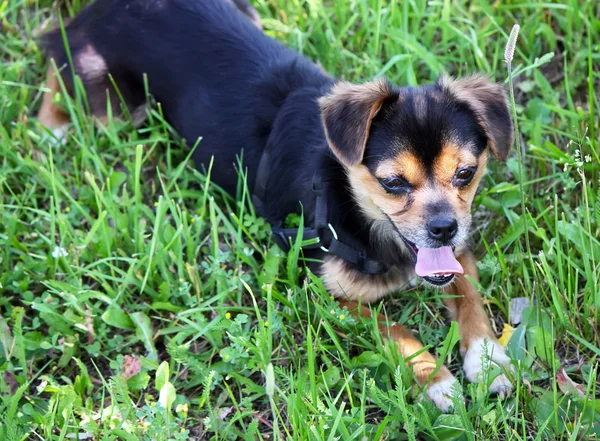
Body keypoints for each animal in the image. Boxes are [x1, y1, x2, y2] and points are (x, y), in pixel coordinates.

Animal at [39, 0, 512, 410]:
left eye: (466, 173)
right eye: (393, 183)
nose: (444, 227)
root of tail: (101, 7)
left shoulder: (457, 255)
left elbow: (470, 296)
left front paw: (487, 358)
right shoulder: (331, 297)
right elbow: (395, 329)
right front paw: (438, 379)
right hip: (110, 105)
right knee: (54, 62)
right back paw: (51, 127)